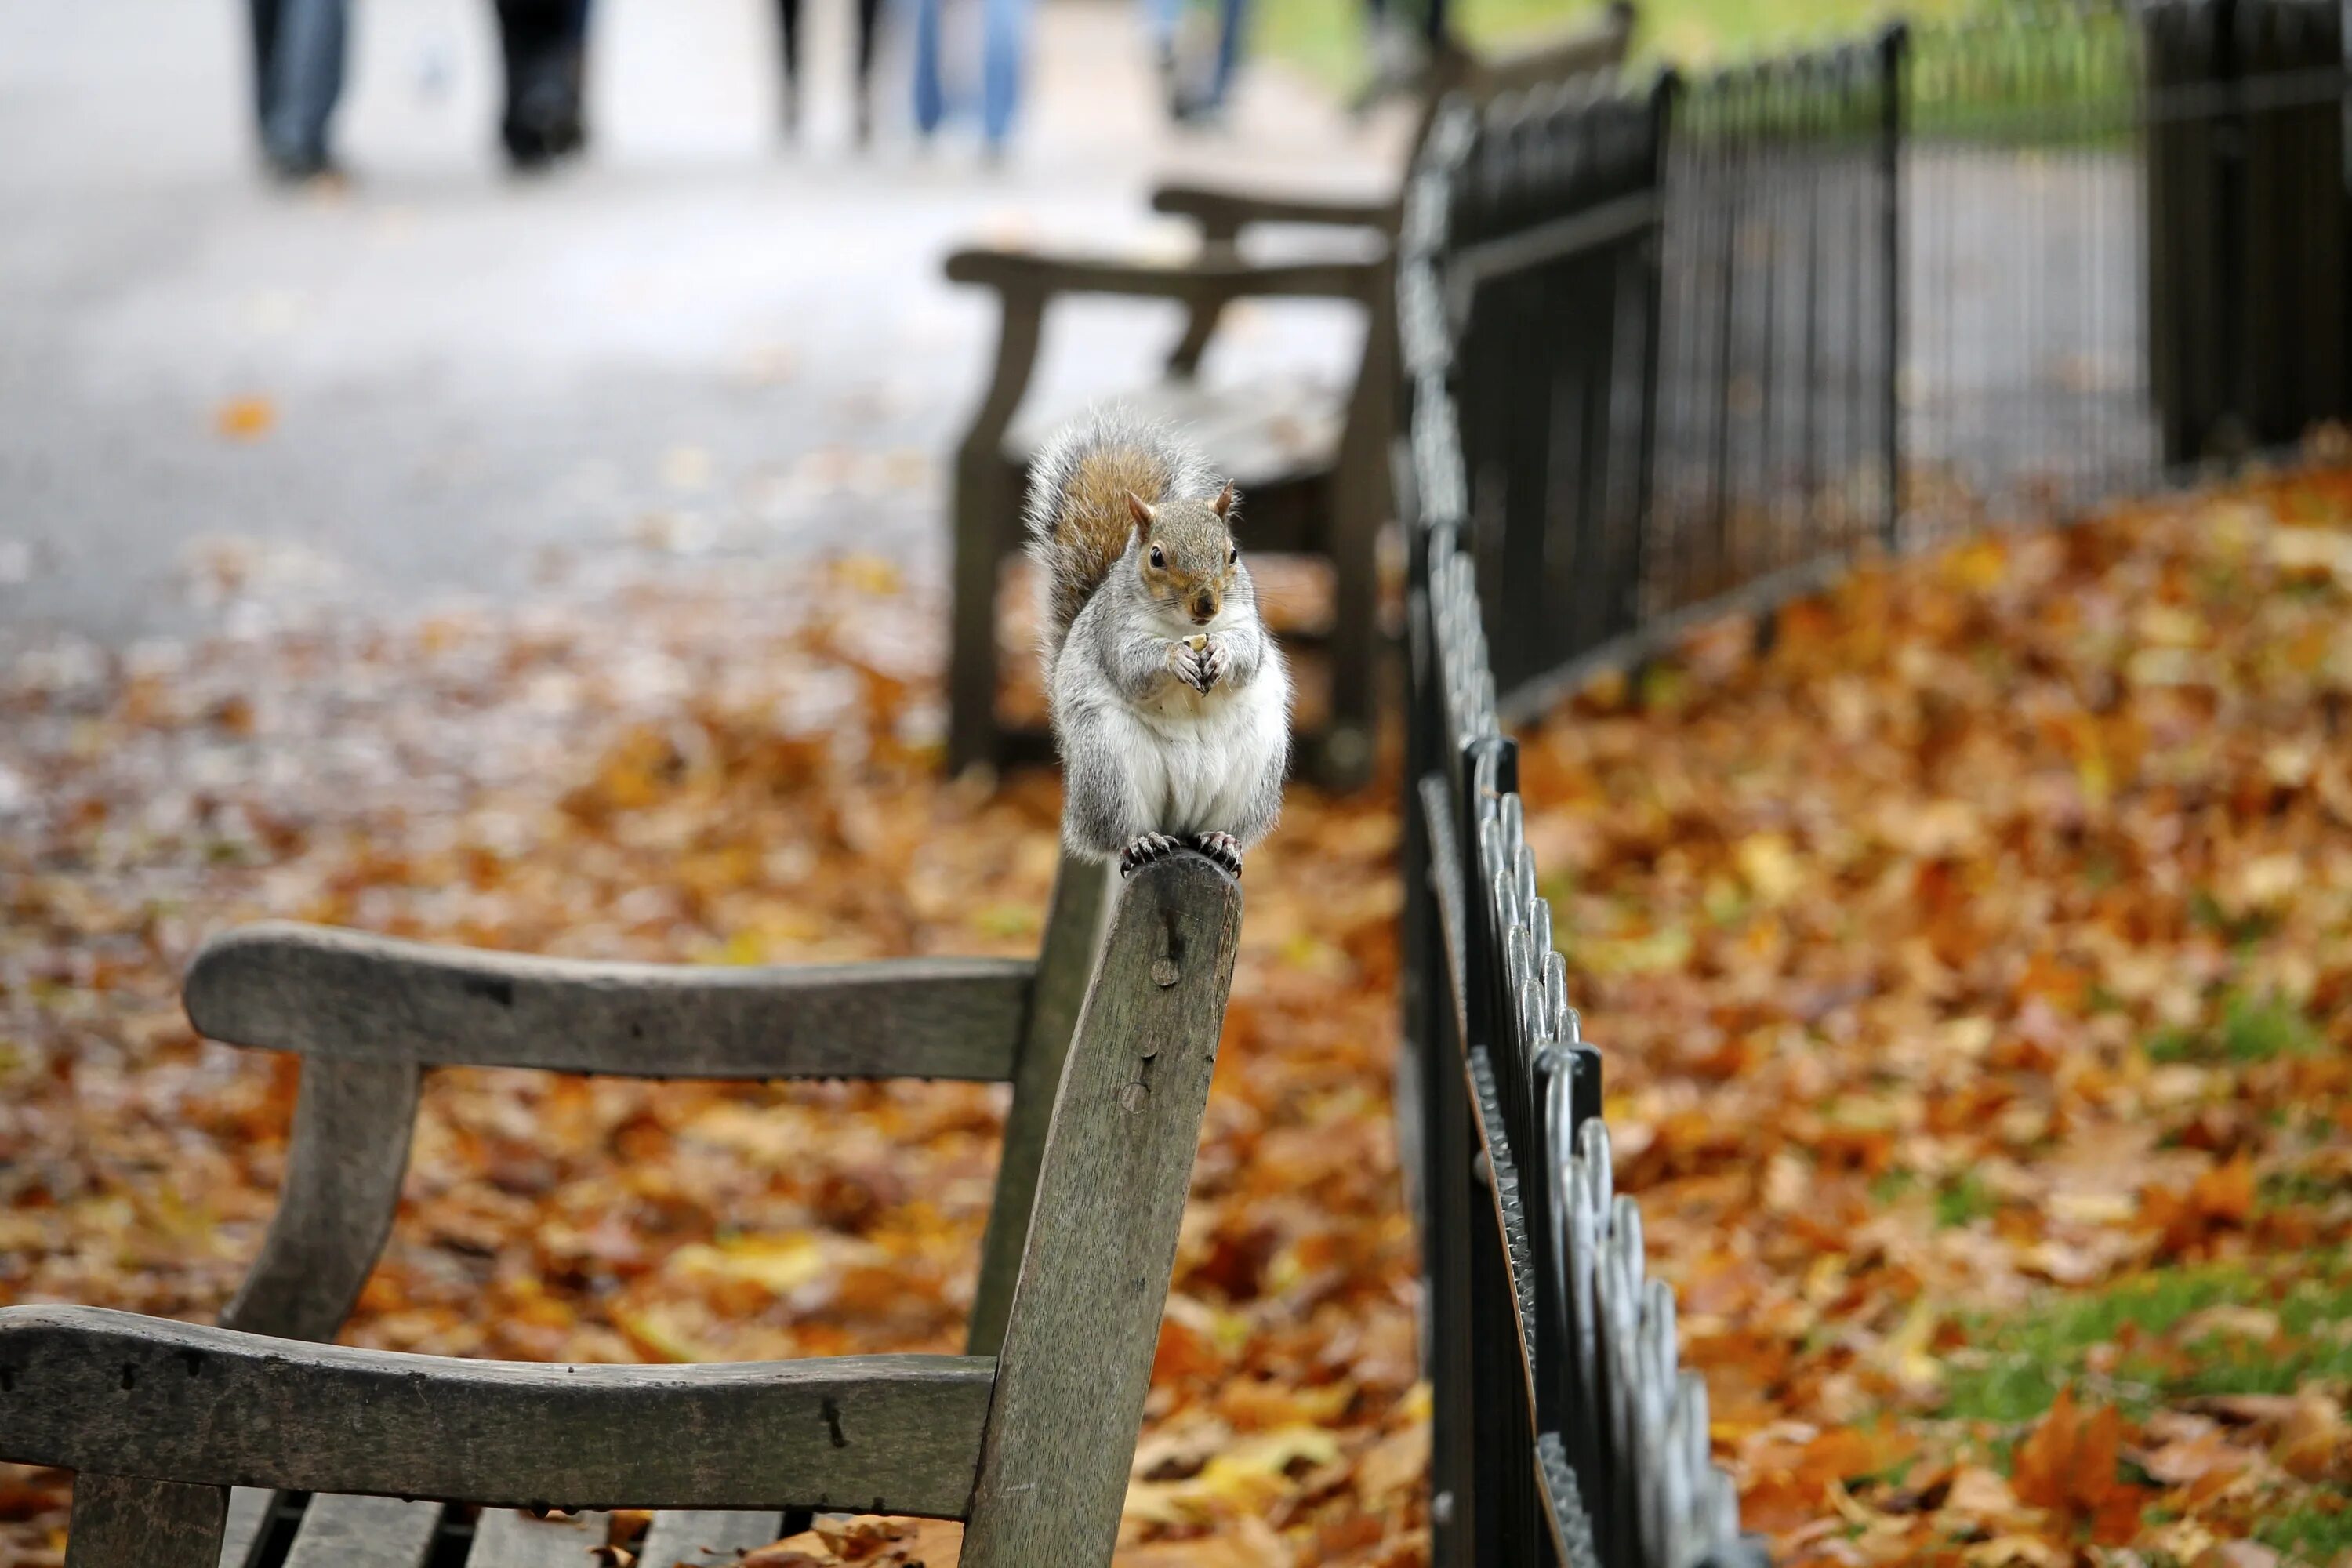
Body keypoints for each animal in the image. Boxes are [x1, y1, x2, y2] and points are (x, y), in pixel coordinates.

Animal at [1025, 413, 1289, 884]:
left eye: (1233, 554)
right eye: (1156, 557)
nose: (1206, 604)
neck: (1184, 628)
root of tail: (1180, 822)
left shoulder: (1247, 623)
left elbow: (1247, 655)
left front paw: (1220, 653)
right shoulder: (1115, 633)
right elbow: (1134, 667)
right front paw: (1175, 659)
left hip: (1256, 767)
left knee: (1227, 823)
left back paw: (1223, 839)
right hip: (1107, 764)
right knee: (1117, 832)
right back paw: (1142, 842)